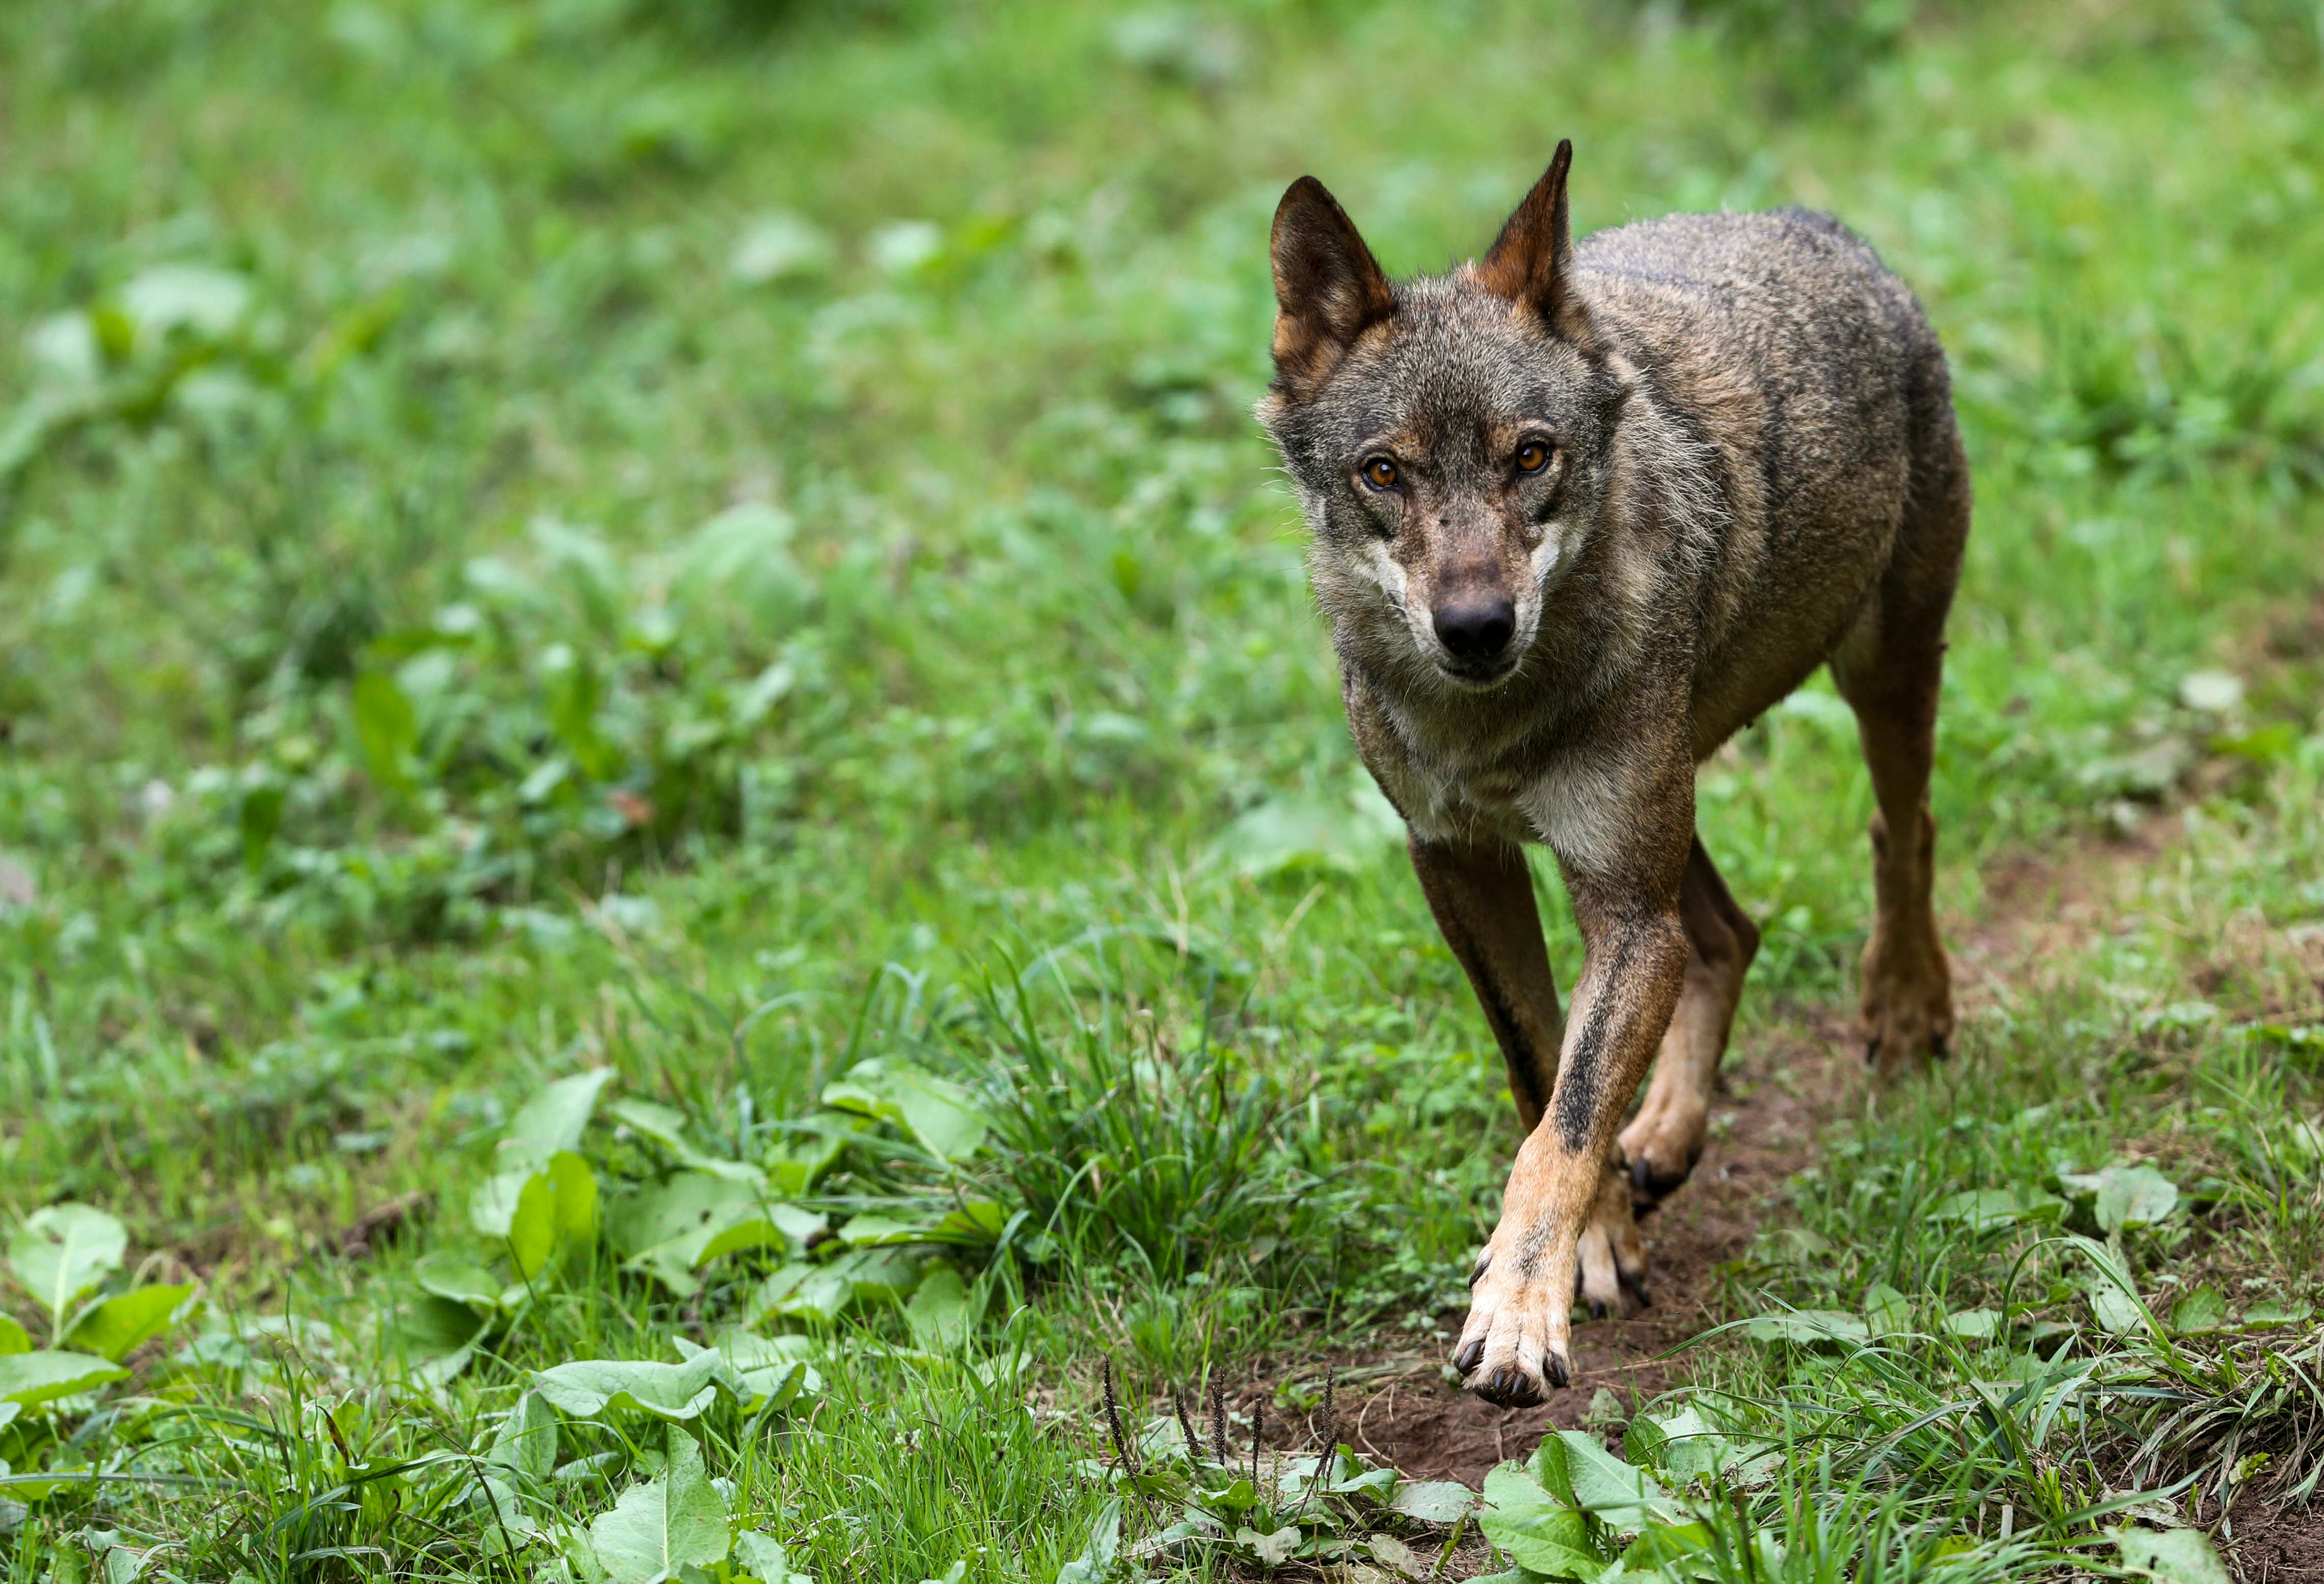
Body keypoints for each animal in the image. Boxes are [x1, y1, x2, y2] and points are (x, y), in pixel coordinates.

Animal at [1264, 142, 1971, 1405]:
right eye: (1382, 473)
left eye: (1530, 456)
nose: (1475, 628)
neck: (1492, 727)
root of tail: (1813, 224)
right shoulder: (1459, 866)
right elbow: (1540, 1069)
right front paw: (1596, 1242)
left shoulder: (1621, 910)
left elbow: (1565, 1120)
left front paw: (1517, 1312)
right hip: (1668, 811)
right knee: (1728, 930)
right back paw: (1669, 1137)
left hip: (1873, 680)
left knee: (1902, 831)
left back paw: (1903, 1007)